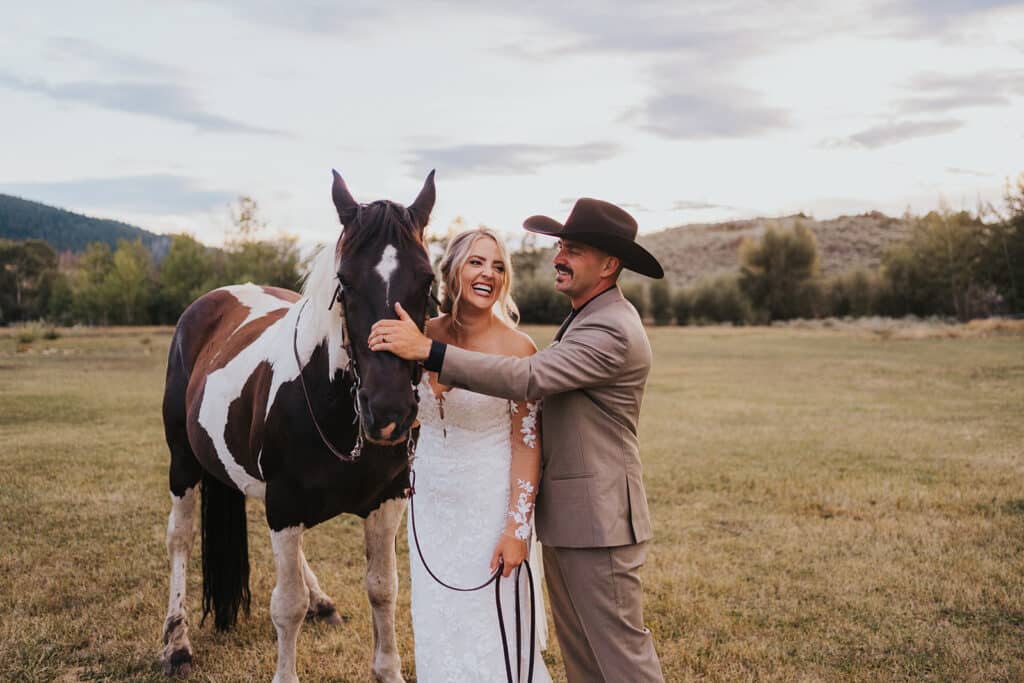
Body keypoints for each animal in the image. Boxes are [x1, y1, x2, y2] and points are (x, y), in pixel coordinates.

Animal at [159, 167, 436, 679]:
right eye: (345, 281)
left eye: (427, 279)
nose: (388, 412)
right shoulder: (284, 505)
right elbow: (287, 605)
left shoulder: (385, 501)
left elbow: (383, 589)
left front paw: (387, 668)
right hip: (183, 462)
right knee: (180, 538)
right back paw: (176, 643)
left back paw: (322, 601)